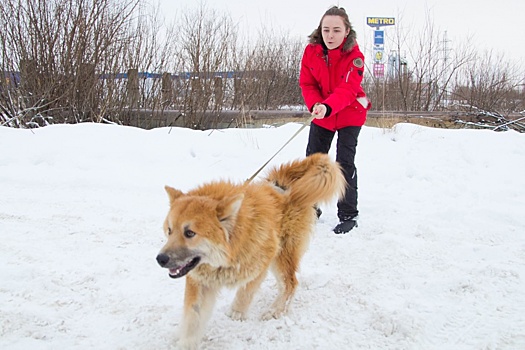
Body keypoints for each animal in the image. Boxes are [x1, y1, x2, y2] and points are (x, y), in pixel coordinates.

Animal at [155, 154, 344, 350]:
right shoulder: (199, 280)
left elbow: (246, 290)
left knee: (291, 283)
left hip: (281, 256)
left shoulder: (262, 260)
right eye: (169, 230)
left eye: (190, 233)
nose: (160, 258)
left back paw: (275, 310)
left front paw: (237, 312)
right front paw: (187, 342)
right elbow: (193, 317)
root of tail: (283, 184)